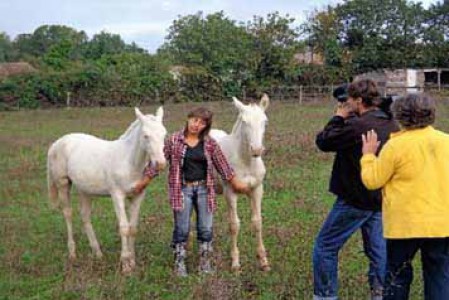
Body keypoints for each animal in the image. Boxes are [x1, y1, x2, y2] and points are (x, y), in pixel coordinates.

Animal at [47, 108, 166, 274]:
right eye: (145, 135)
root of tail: (57, 143)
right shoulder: (117, 195)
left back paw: (97, 253)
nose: (160, 164)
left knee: (85, 216)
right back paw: (72, 253)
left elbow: (133, 228)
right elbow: (124, 227)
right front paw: (125, 264)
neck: (129, 162)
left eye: (164, 134)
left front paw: (133, 261)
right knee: (68, 214)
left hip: (84, 190)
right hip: (63, 184)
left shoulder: (138, 195)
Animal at [210, 94, 270, 272]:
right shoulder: (230, 192)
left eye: (265, 121)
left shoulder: (257, 190)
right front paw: (235, 263)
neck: (246, 162)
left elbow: (257, 222)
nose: (256, 150)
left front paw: (263, 261)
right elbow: (234, 225)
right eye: (244, 122)